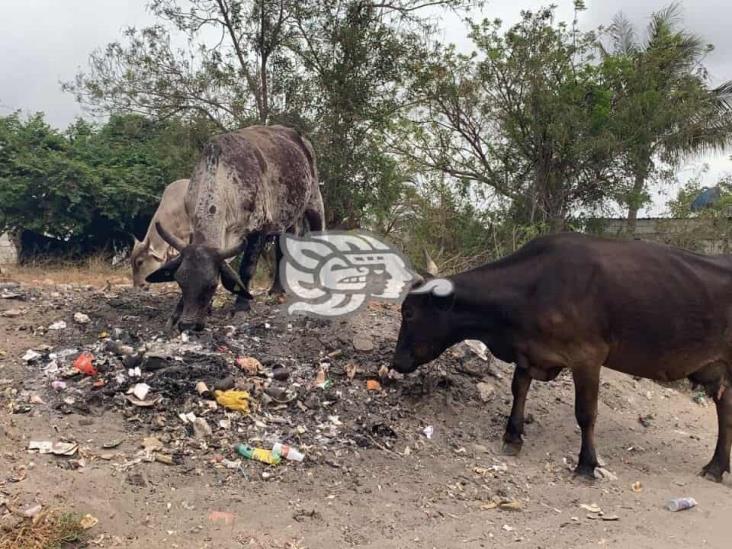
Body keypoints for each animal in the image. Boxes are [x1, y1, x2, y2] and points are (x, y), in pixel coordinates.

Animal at [146, 124, 324, 330]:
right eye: (180, 281)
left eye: (212, 285)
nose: (189, 325)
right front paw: (177, 312)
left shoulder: (259, 230)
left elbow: (246, 269)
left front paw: (241, 306)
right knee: (281, 250)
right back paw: (277, 290)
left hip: (314, 201)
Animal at [392, 233, 732, 482]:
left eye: (408, 312)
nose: (396, 362)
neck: (532, 288)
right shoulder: (530, 353)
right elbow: (519, 390)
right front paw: (512, 438)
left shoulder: (587, 358)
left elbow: (586, 413)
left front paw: (586, 465)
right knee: (725, 409)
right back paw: (716, 467)